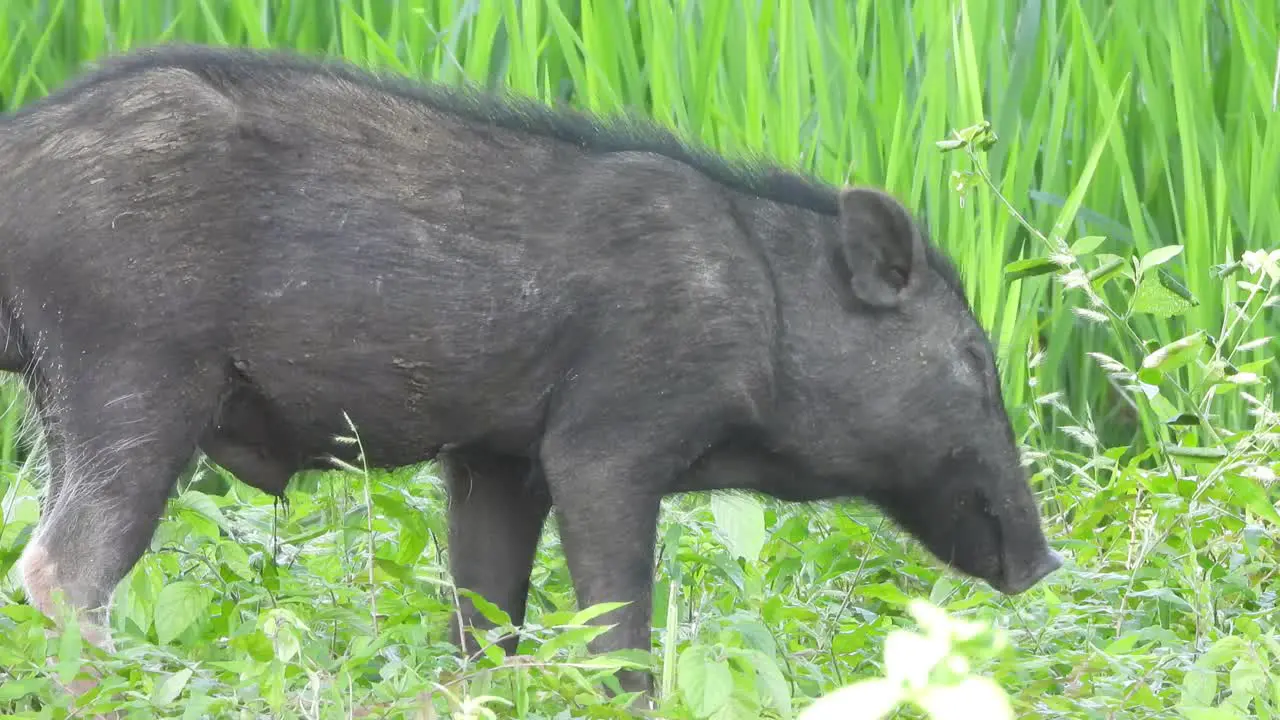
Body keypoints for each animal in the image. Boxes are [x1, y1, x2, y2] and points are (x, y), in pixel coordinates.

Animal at [0, 46, 1059, 696]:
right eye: (975, 359)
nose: (1046, 561)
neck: (765, 314)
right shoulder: (606, 439)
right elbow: (616, 632)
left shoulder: (495, 458)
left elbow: (484, 625)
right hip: (134, 371)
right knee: (59, 569)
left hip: (72, 392)